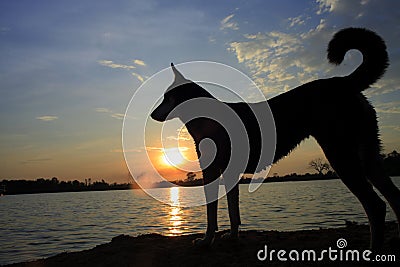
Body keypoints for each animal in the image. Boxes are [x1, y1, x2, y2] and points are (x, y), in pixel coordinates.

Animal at [150, 28, 400, 250]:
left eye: (167, 97)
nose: (152, 114)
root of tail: (344, 82)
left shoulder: (211, 171)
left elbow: (212, 214)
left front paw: (206, 241)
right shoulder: (230, 173)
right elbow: (233, 211)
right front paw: (232, 237)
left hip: (341, 155)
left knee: (375, 206)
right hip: (368, 154)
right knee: (394, 197)